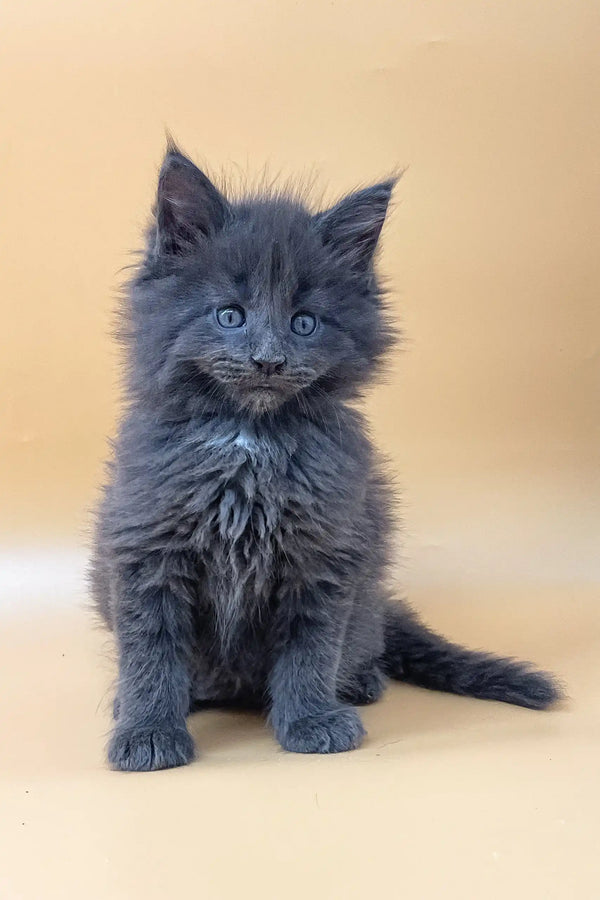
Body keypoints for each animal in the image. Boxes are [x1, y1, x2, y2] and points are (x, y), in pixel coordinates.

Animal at [90, 144, 564, 768]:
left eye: (305, 323)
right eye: (230, 315)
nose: (268, 360)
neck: (250, 441)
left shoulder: (328, 551)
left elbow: (310, 647)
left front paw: (311, 719)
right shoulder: (145, 545)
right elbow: (150, 648)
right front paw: (147, 730)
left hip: (365, 594)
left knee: (361, 643)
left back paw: (359, 682)